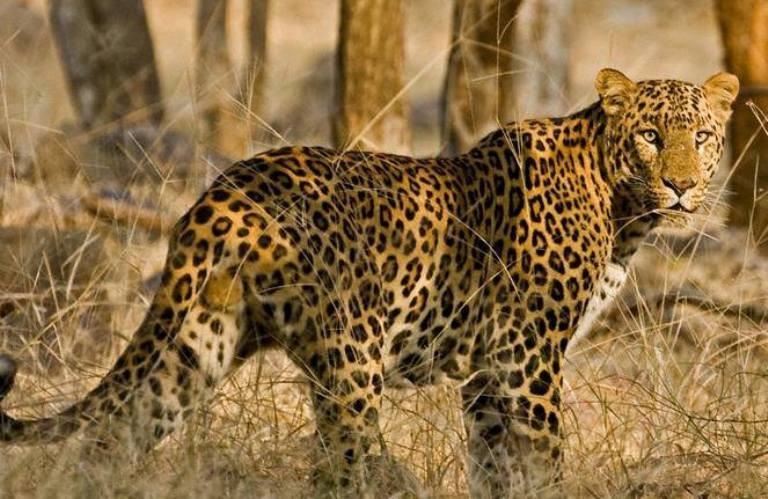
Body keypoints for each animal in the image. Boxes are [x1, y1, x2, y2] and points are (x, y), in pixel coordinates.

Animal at [0, 68, 738, 497]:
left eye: (702, 136)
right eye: (650, 135)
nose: (682, 185)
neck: (623, 210)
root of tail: (225, 189)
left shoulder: (487, 373)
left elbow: (494, 464)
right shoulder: (526, 354)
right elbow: (542, 459)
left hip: (201, 338)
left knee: (113, 437)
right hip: (351, 352)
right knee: (340, 463)